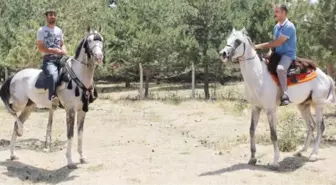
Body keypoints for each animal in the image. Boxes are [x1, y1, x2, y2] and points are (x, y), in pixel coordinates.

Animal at [0, 27, 103, 169]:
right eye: (89, 41)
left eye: (101, 40)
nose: (99, 56)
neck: (78, 76)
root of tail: (15, 75)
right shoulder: (70, 110)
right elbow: (70, 134)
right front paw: (70, 161)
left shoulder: (82, 110)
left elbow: (80, 134)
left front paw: (82, 158)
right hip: (19, 103)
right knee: (11, 111)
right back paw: (20, 130)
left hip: (29, 106)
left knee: (16, 123)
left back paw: (13, 154)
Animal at [219, 26, 334, 170]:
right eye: (228, 38)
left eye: (238, 41)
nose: (223, 53)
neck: (259, 76)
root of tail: (326, 76)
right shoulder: (255, 107)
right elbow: (251, 130)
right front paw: (252, 158)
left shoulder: (270, 109)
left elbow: (273, 135)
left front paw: (275, 162)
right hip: (303, 105)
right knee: (311, 125)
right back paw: (301, 151)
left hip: (318, 105)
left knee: (320, 127)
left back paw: (313, 155)